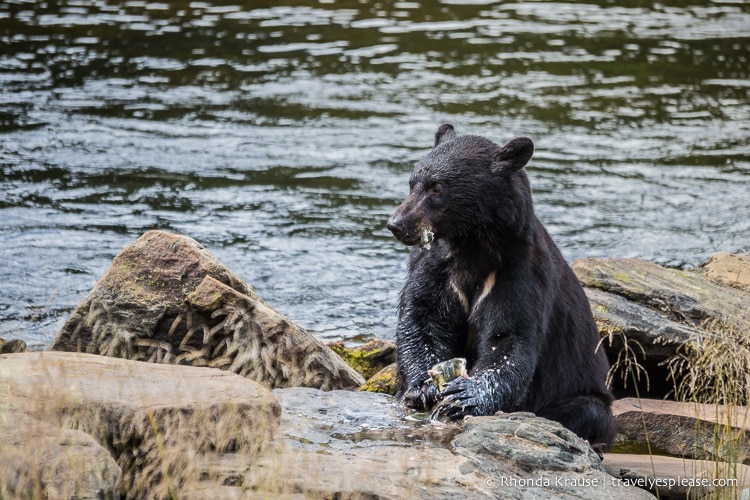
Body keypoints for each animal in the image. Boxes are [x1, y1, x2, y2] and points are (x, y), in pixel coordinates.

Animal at [388, 123, 616, 448]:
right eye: (412, 183)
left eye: (436, 188)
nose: (396, 223)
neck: (472, 244)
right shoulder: (437, 266)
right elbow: (423, 318)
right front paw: (424, 387)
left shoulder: (518, 272)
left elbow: (509, 336)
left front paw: (464, 395)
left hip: (585, 396)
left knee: (586, 413)